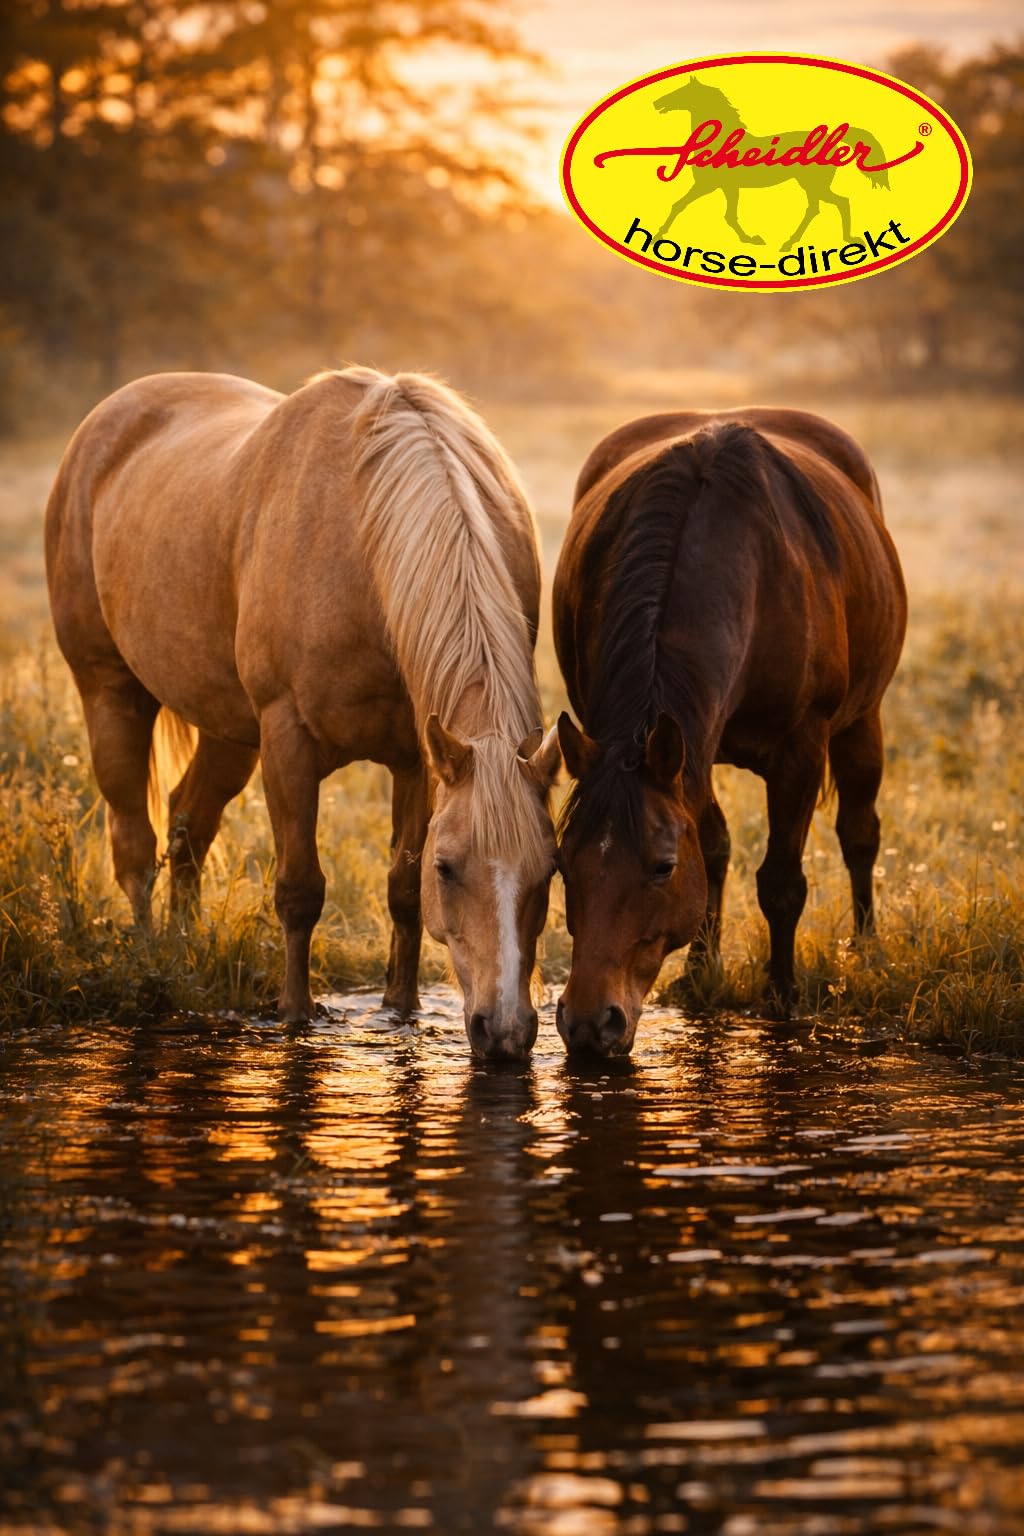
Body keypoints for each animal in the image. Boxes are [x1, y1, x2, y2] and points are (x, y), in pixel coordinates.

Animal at [46, 366, 561, 1058]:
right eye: (449, 869)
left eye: (550, 869)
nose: (503, 1032)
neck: (363, 543)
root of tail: (105, 421)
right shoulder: (288, 739)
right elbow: (299, 889)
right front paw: (294, 1015)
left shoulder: (417, 756)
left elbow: (402, 890)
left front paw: (400, 1011)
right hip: (111, 693)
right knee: (135, 844)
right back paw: (151, 964)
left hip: (228, 731)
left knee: (188, 827)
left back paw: (183, 953)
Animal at [552, 408, 907, 1056]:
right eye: (563, 864)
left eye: (662, 867)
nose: (590, 1025)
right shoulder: (684, 747)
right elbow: (713, 848)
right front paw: (698, 972)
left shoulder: (800, 750)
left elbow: (782, 882)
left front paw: (782, 998)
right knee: (719, 845)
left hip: (862, 720)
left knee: (860, 833)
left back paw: (867, 952)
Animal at [652, 76, 891, 250]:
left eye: (681, 92)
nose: (656, 103)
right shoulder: (726, 187)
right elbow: (725, 215)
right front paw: (752, 239)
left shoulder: (709, 185)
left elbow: (684, 206)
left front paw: (657, 236)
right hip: (813, 185)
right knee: (824, 206)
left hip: (814, 184)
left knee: (835, 203)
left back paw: (799, 243)